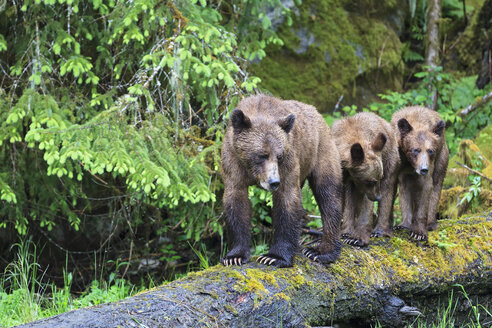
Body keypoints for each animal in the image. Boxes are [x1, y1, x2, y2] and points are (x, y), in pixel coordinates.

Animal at [220, 94, 342, 266]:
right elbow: (237, 202)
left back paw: (321, 251)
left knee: (328, 194)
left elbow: (287, 200)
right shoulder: (233, 163)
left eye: (279, 156)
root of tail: (317, 113)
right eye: (261, 155)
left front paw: (274, 256)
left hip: (321, 150)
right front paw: (234, 256)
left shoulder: (288, 161)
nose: (274, 182)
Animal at [330, 112, 400, 246]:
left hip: (390, 157)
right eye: (371, 181)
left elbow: (366, 205)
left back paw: (380, 229)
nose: (378, 197)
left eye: (379, 178)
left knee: (388, 191)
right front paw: (345, 232)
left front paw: (357, 238)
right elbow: (346, 201)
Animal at [392, 106, 450, 240]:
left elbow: (426, 189)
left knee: (436, 186)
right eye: (416, 150)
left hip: (442, 156)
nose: (424, 169)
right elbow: (403, 191)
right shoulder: (398, 164)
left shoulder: (431, 164)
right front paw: (403, 225)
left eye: (430, 150)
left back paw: (430, 223)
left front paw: (418, 232)